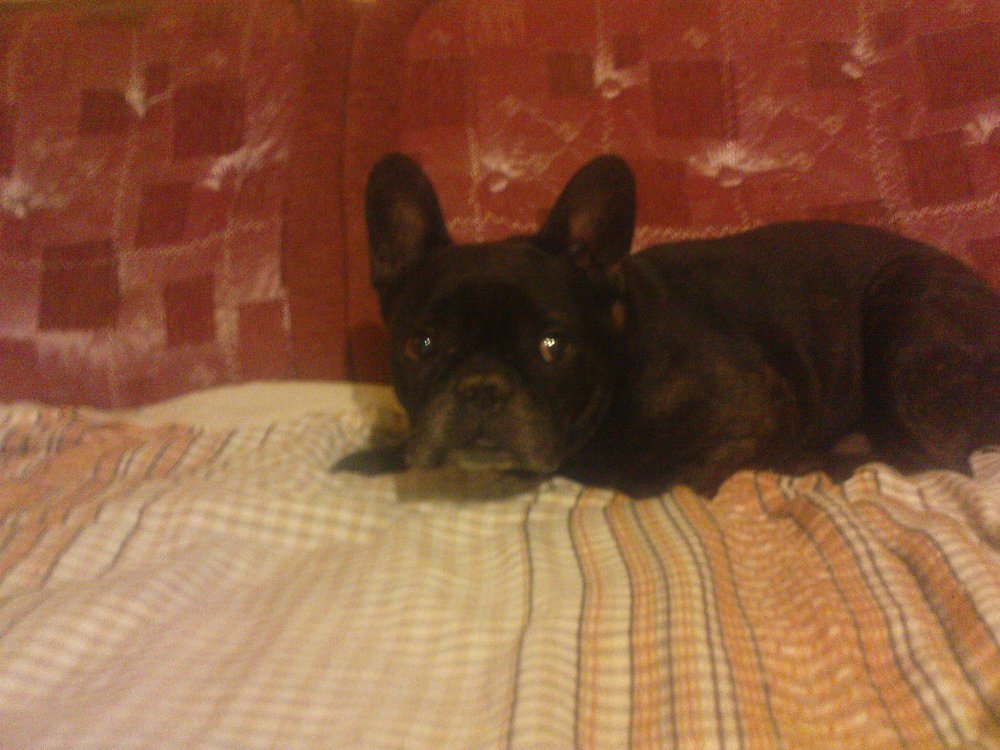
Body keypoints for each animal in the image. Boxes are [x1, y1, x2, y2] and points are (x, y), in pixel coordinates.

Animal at [334, 153, 1000, 496]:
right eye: (422, 344)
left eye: (552, 346)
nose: (481, 389)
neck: (620, 349)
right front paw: (373, 458)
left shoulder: (750, 413)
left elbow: (655, 472)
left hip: (907, 300)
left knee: (932, 459)